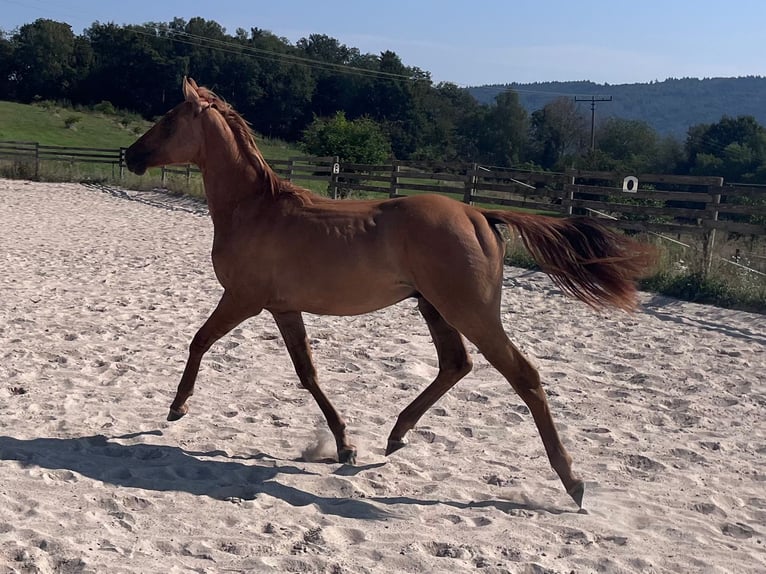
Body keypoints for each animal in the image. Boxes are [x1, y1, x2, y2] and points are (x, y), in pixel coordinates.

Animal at [126, 76, 656, 508]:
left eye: (168, 121)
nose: (129, 156)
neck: (254, 209)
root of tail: (480, 214)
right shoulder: (283, 309)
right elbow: (307, 373)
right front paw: (344, 444)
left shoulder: (243, 299)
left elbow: (200, 341)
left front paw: (177, 407)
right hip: (435, 307)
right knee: (455, 364)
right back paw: (396, 435)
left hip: (469, 310)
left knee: (522, 374)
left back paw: (573, 483)